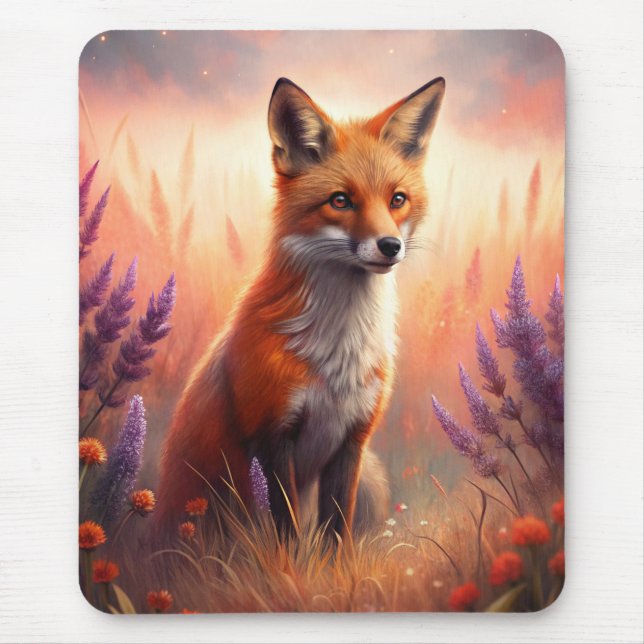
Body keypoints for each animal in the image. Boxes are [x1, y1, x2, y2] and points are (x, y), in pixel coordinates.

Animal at [155, 76, 445, 539]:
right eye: (340, 201)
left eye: (397, 199)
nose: (390, 246)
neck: (338, 357)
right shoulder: (271, 436)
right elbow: (287, 531)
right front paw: (291, 561)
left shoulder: (352, 440)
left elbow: (336, 532)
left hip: (371, 478)